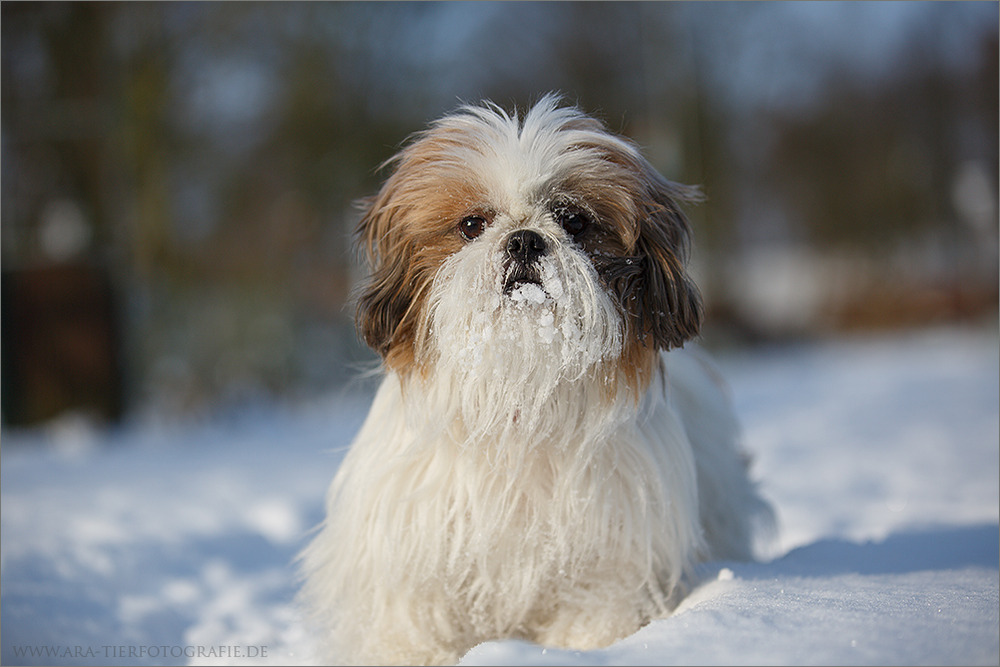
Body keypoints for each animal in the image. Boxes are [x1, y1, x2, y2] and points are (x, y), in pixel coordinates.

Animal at [296, 92, 772, 664]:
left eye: (574, 221)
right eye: (472, 225)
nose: (524, 240)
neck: (520, 393)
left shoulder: (609, 558)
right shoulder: (413, 559)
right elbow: (414, 628)